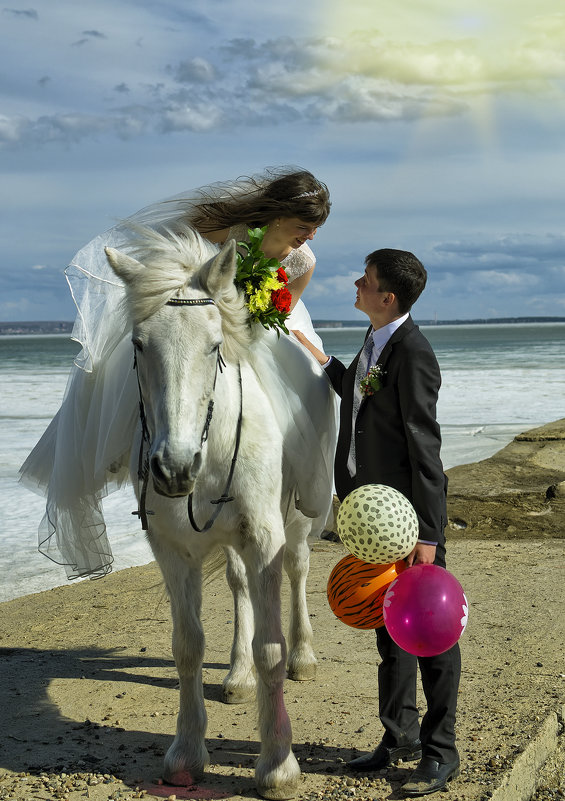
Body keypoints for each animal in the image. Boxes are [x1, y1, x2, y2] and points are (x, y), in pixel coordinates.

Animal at [104, 225, 318, 800]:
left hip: (295, 524)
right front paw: (185, 752)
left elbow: (270, 647)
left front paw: (278, 764)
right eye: (138, 346)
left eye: (215, 345)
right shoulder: (173, 552)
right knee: (240, 587)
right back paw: (238, 677)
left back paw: (304, 656)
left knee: (298, 571)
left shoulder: (264, 538)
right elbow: (187, 647)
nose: (175, 467)